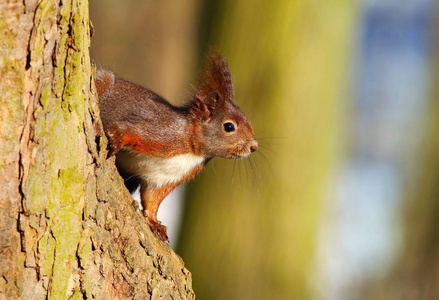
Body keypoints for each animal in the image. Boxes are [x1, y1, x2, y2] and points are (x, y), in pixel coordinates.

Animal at [93, 49, 258, 241]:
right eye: (229, 126)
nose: (254, 146)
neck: (194, 153)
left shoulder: (166, 178)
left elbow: (152, 199)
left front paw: (155, 222)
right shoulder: (163, 134)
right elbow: (130, 130)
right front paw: (118, 137)